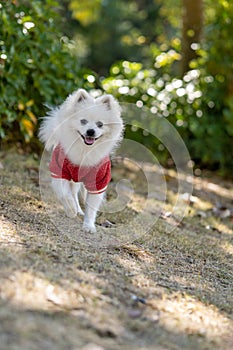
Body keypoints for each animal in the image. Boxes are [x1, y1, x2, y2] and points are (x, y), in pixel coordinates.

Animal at [39, 89, 123, 234]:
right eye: (83, 121)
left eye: (100, 124)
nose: (91, 131)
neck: (84, 150)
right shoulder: (60, 173)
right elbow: (65, 194)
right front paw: (70, 209)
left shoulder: (98, 182)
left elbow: (91, 208)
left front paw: (89, 225)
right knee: (72, 193)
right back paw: (74, 209)